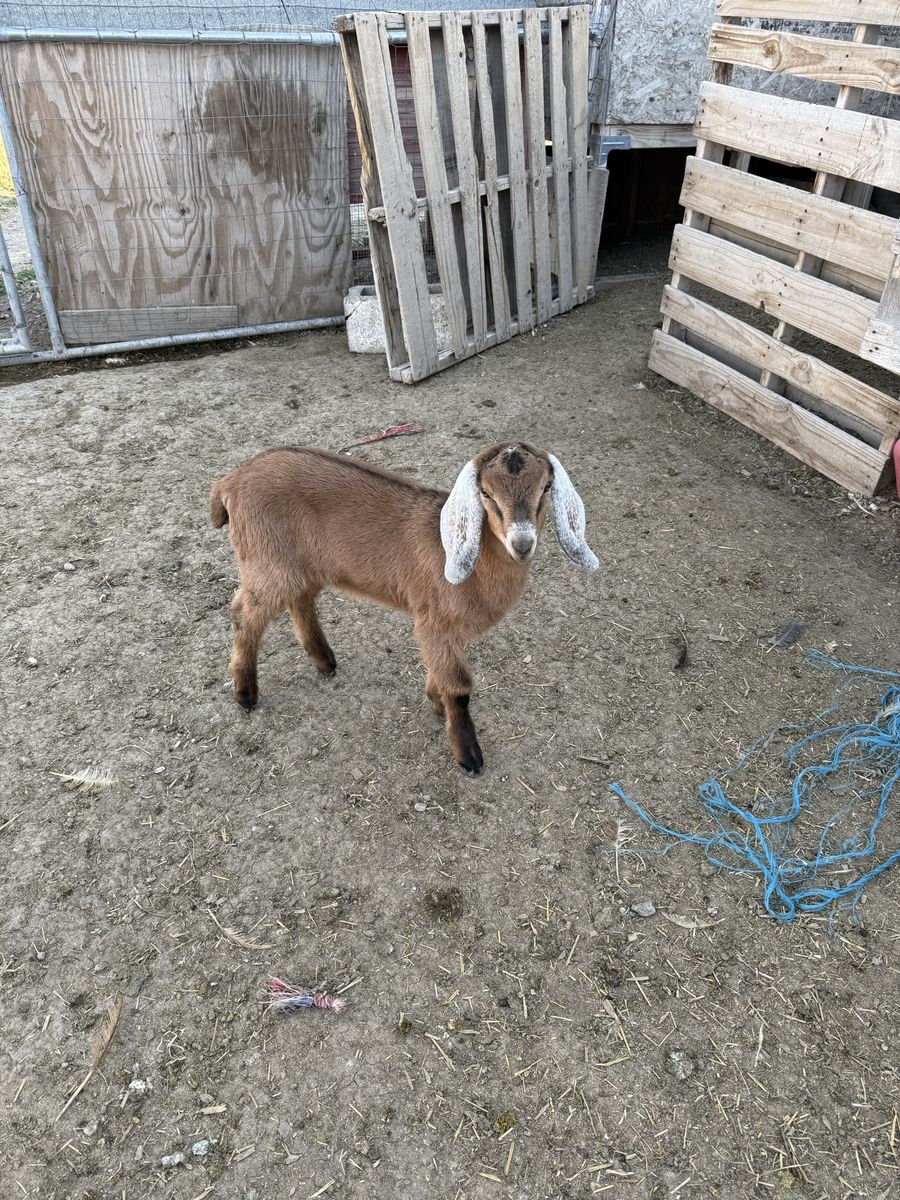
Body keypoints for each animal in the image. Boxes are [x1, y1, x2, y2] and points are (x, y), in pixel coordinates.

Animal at [209, 442, 598, 772]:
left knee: (300, 600)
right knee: (244, 614)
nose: (522, 544)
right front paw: (468, 755)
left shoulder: (440, 630)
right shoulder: (435, 622)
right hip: (266, 561)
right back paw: (245, 694)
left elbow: (439, 670)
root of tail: (229, 482)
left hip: (300, 566)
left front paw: (435, 701)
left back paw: (324, 661)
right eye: (486, 493)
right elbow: (459, 687)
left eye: (546, 488)